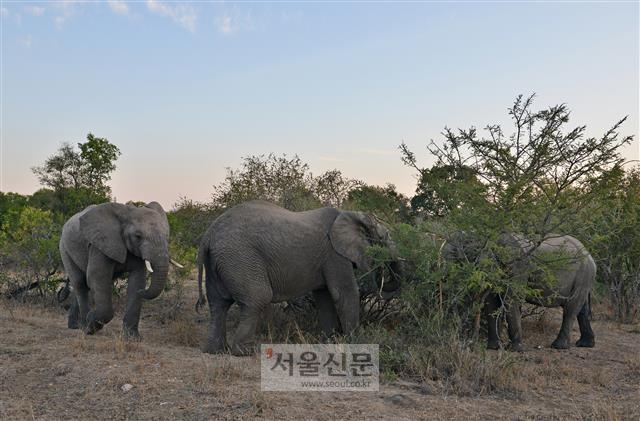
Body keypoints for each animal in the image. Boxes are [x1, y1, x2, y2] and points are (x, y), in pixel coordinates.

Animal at [59, 201, 182, 338]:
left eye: (167, 236)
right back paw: (85, 327)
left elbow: (137, 279)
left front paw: (132, 338)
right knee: (80, 283)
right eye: (138, 236)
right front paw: (92, 323)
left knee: (83, 285)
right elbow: (97, 277)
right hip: (64, 248)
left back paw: (78, 325)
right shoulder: (99, 245)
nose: (142, 291)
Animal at [198, 199, 402, 354]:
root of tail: (208, 235)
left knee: (218, 304)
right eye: (384, 237)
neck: (349, 214)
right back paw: (246, 351)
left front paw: (328, 342)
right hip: (240, 257)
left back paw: (215, 350)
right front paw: (357, 344)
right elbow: (344, 293)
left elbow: (325, 297)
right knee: (257, 299)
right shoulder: (334, 254)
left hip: (220, 262)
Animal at [444, 231, 596, 350]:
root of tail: (588, 253)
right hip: (584, 278)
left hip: (583, 275)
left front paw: (515, 349)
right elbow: (491, 302)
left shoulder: (517, 266)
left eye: (464, 257)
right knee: (582, 309)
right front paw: (494, 348)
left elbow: (511, 299)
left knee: (571, 308)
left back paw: (558, 346)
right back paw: (585, 344)